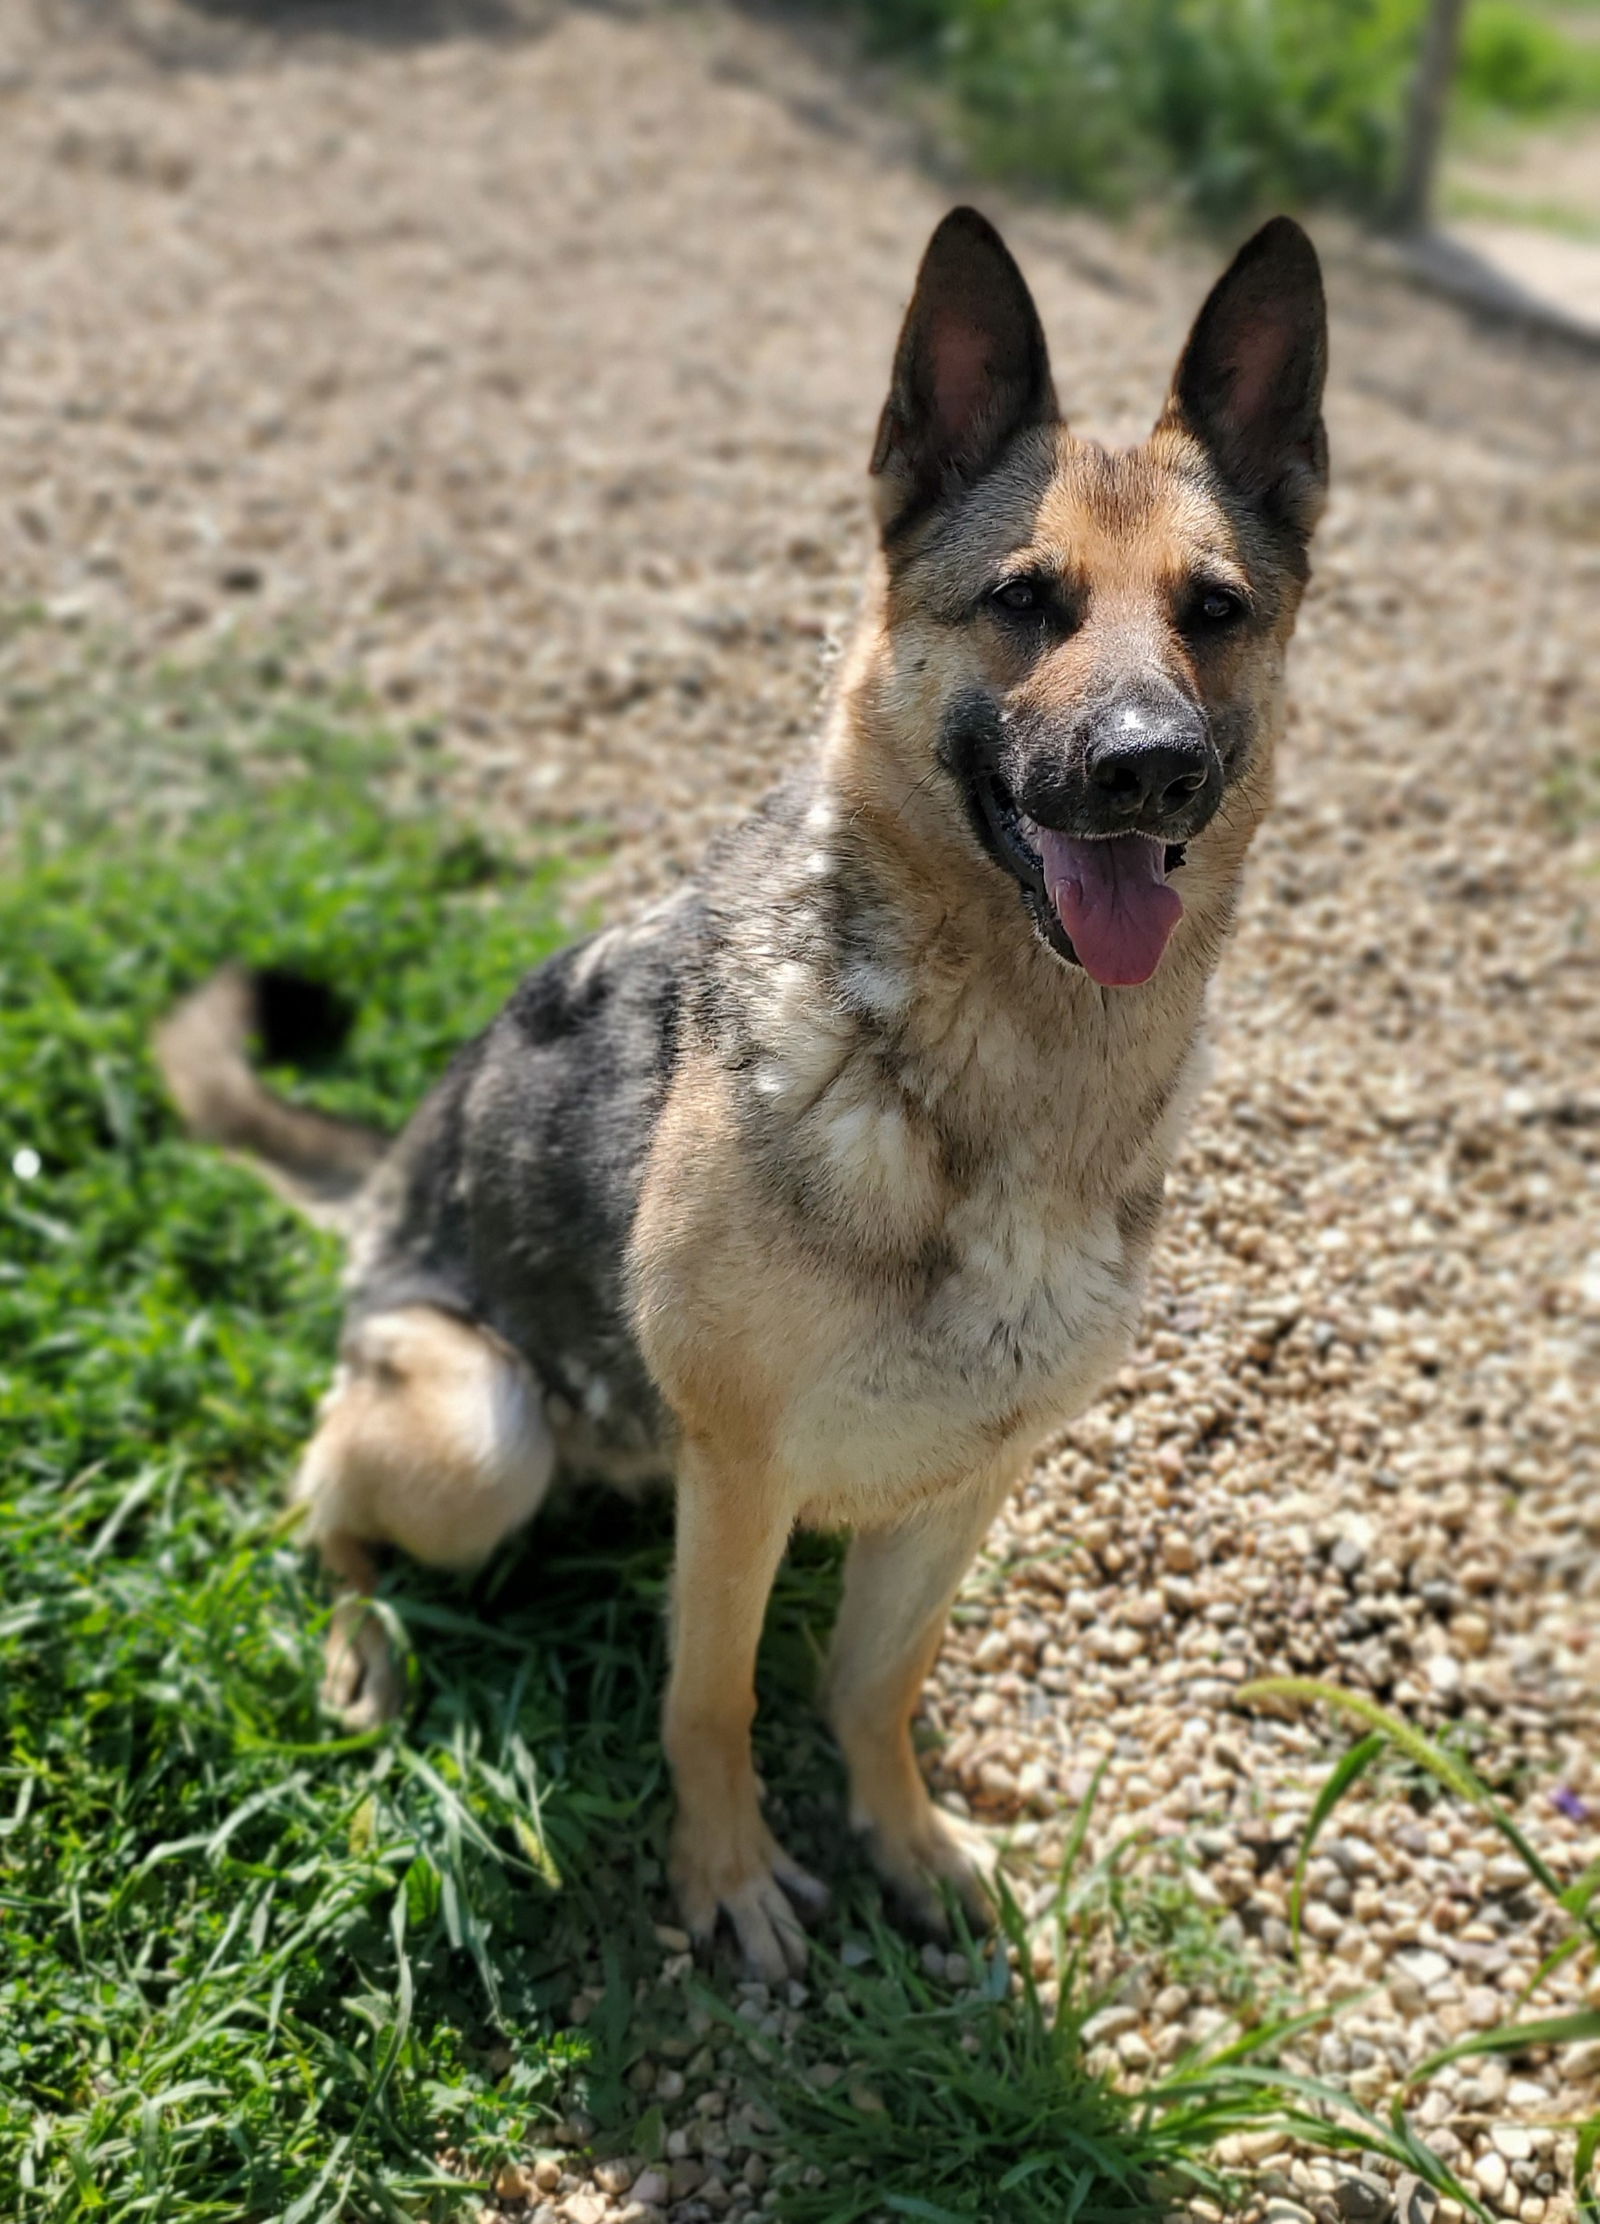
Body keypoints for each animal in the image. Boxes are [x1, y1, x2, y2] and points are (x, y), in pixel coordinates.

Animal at [159, 212, 1326, 1983]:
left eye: (1216, 609)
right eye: (1024, 602)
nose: (1153, 767)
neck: (1001, 1083)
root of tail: (386, 1194)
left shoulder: (964, 1481)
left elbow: (877, 1687)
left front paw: (905, 1835)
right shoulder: (744, 1473)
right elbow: (707, 1701)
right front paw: (725, 1876)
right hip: (476, 1436)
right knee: (322, 1494)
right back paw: (363, 1649)